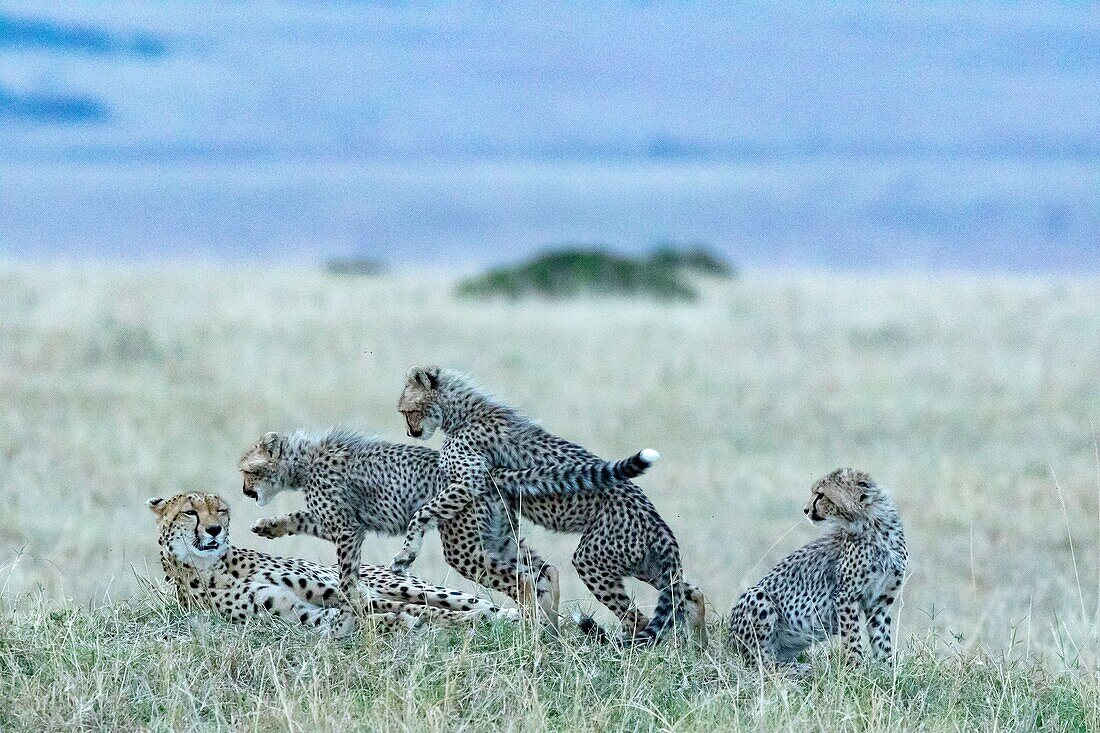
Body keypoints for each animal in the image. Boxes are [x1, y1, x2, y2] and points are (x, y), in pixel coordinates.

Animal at [147, 490, 519, 633]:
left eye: (220, 510)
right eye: (190, 512)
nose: (215, 530)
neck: (213, 568)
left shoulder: (344, 593)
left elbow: (419, 610)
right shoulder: (298, 614)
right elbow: (367, 618)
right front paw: (398, 622)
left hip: (407, 584)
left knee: (470, 600)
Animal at [240, 429, 651, 620]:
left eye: (248, 470)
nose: (244, 490)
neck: (302, 459)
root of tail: (489, 470)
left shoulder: (346, 527)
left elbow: (345, 570)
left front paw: (353, 595)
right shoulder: (332, 520)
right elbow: (298, 519)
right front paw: (269, 526)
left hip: (463, 547)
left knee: (522, 580)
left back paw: (530, 618)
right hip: (498, 539)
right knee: (544, 569)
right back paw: (547, 616)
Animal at [393, 363, 704, 642]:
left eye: (408, 411)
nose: (411, 432)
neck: (462, 413)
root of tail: (658, 523)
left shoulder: (472, 480)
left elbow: (422, 512)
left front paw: (406, 553)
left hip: (592, 559)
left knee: (636, 618)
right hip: (646, 566)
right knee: (687, 595)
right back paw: (696, 643)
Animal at [726, 468, 906, 669]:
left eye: (820, 495)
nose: (806, 510)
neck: (874, 524)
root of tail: (729, 639)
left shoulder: (880, 601)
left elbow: (881, 637)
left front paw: (887, 666)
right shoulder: (846, 597)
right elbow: (852, 637)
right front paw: (855, 667)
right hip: (758, 594)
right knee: (759, 661)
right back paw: (797, 668)